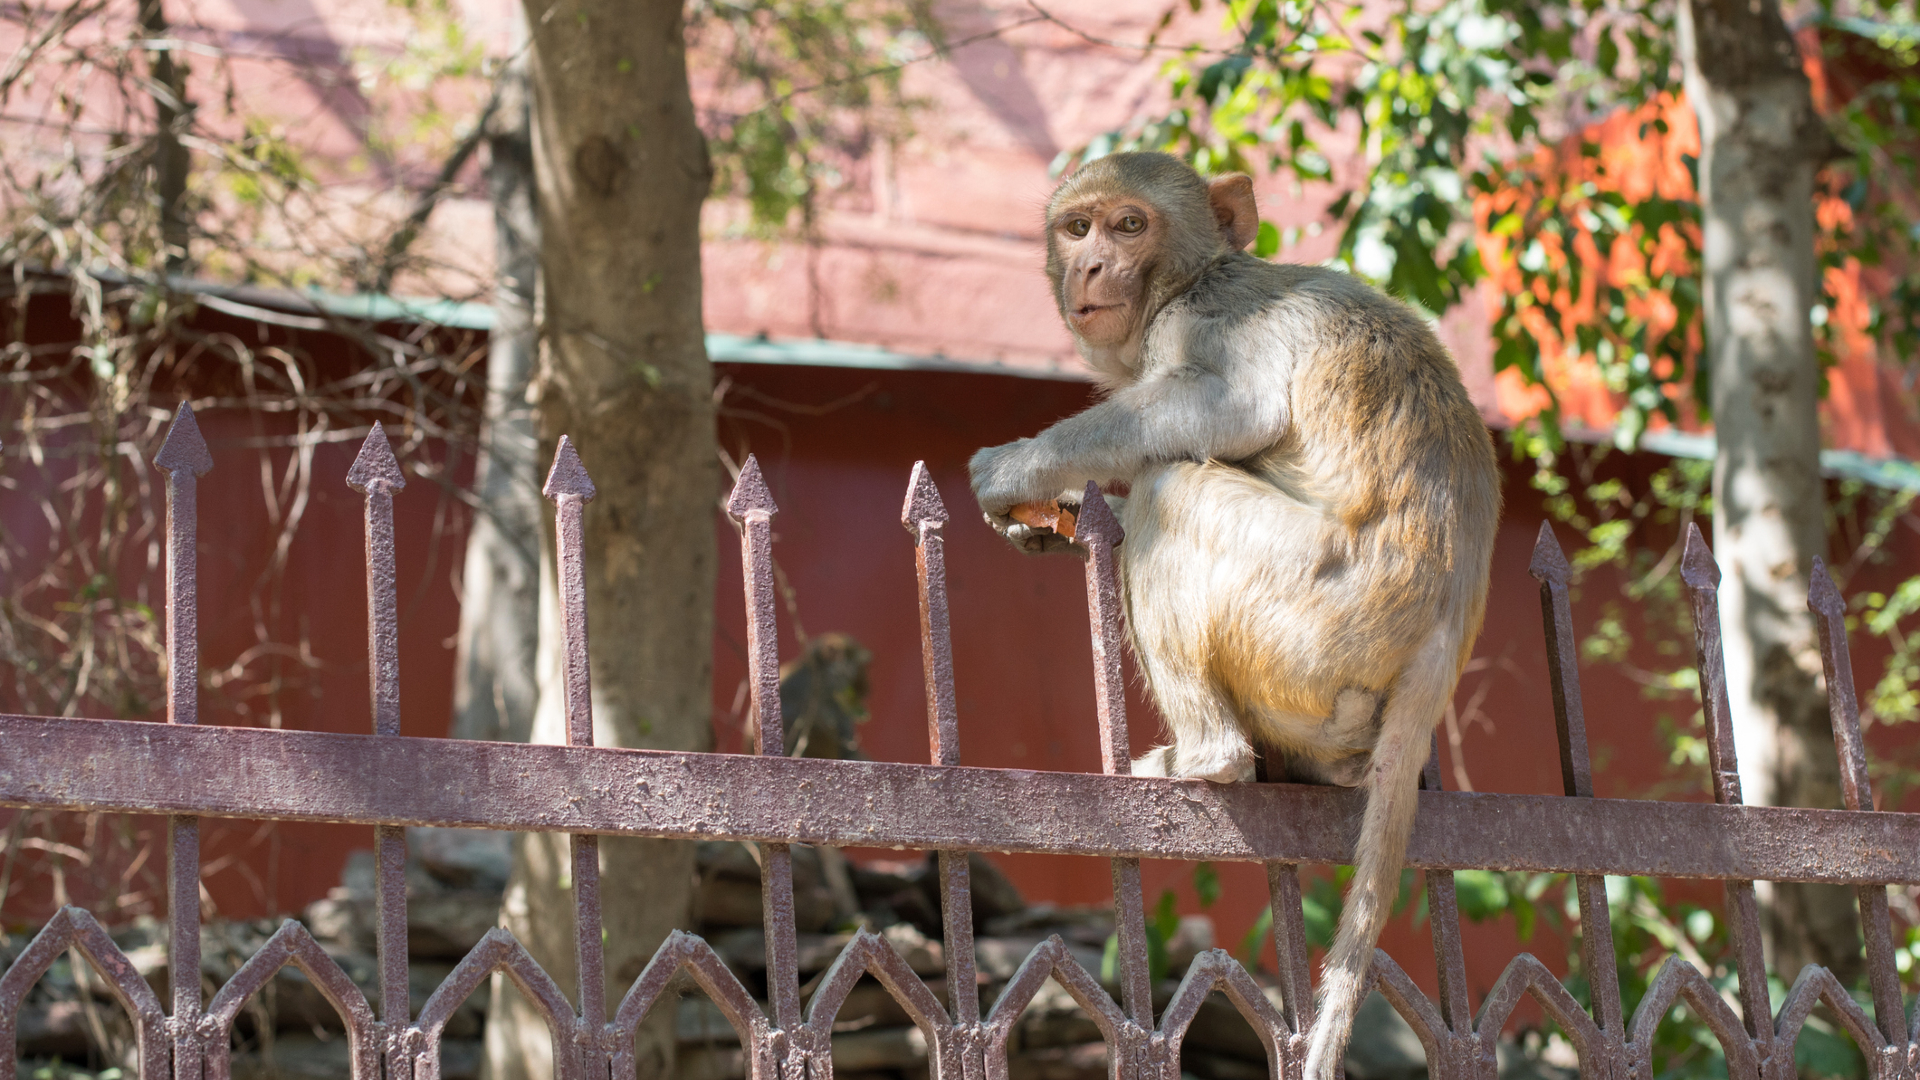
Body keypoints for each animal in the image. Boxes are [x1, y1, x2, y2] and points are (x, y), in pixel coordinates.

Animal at [975, 153, 1497, 1076]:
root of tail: (1444, 626)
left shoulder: (1206, 323)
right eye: (1077, 228)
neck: (1194, 274)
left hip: (1312, 619)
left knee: (1173, 485)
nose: (1090, 268)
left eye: (1130, 226)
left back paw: (1205, 758)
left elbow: (1226, 407)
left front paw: (1014, 467)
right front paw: (1059, 508)